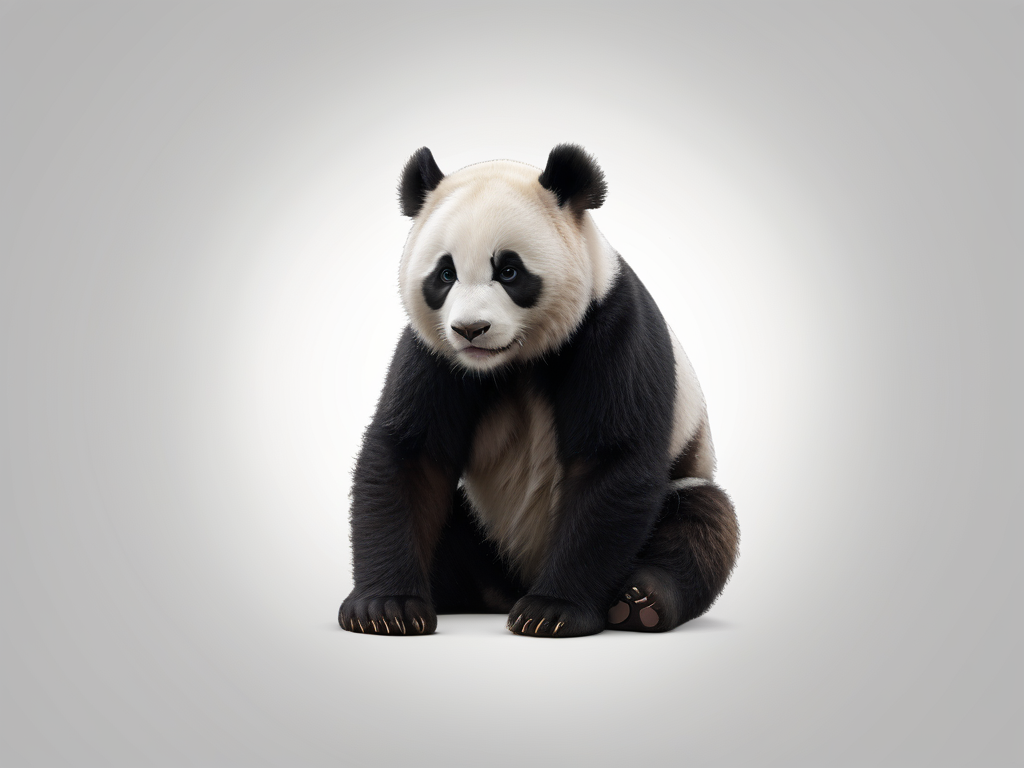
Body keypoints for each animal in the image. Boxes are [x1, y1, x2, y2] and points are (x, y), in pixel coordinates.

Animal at [338, 144, 738, 637]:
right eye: (445, 274)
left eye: (509, 270)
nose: (470, 330)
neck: (512, 362)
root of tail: (508, 586)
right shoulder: (435, 355)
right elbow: (412, 454)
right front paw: (385, 608)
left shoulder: (610, 328)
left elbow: (611, 459)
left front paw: (552, 611)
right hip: (475, 524)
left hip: (682, 480)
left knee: (702, 519)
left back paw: (641, 601)